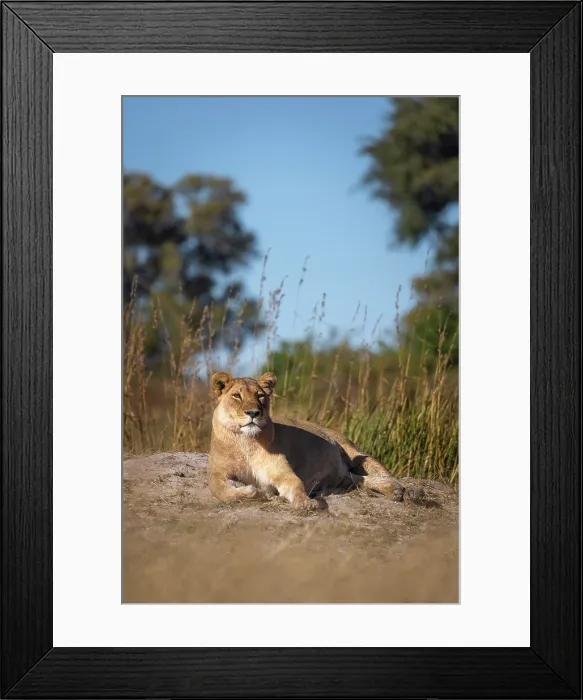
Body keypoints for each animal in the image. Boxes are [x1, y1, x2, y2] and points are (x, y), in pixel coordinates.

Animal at [208, 371, 424, 511]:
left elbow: (295, 483)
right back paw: (394, 491)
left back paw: (407, 491)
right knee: (358, 479)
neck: (246, 441)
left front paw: (305, 503)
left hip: (355, 452)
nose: (253, 413)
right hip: (342, 476)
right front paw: (254, 492)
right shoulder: (217, 473)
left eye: (260, 396)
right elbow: (220, 490)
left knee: (385, 474)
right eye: (236, 396)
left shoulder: (282, 472)